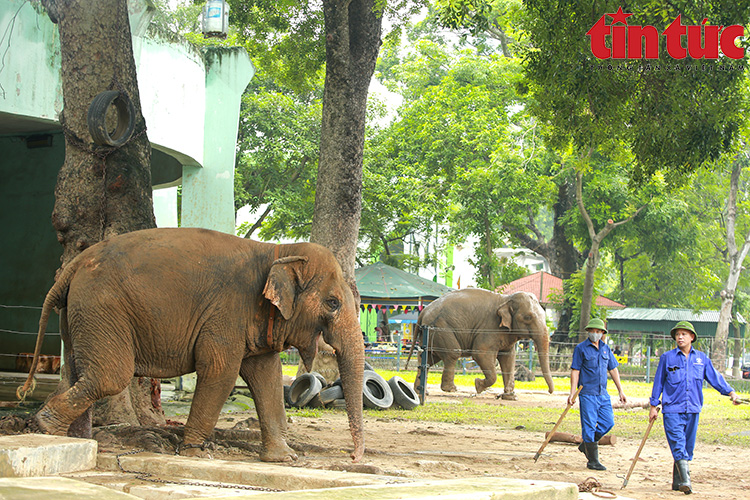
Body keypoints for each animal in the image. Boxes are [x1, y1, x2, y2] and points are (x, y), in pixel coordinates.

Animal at [19, 227, 366, 460]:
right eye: (333, 303)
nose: (353, 456)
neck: (278, 251)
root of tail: (73, 266)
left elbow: (266, 376)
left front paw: (285, 458)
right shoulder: (227, 311)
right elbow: (220, 372)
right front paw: (196, 452)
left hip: (79, 311)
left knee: (77, 370)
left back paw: (66, 435)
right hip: (101, 306)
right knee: (110, 375)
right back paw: (46, 427)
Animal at [408, 288, 556, 400]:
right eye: (528, 317)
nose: (550, 392)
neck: (505, 299)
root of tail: (423, 312)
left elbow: (508, 358)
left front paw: (510, 397)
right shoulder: (489, 328)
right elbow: (480, 353)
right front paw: (478, 385)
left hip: (431, 333)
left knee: (428, 359)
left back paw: (421, 391)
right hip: (440, 328)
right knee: (452, 353)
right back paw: (451, 389)